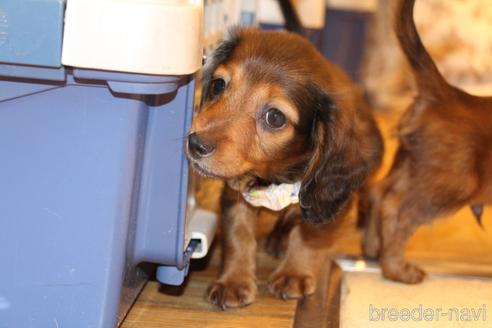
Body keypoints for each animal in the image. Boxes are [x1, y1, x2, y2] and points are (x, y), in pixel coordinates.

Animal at [186, 26, 382, 308]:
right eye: (218, 84)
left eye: (275, 117)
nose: (195, 144)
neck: (276, 175)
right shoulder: (237, 192)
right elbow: (238, 234)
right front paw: (234, 281)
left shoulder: (324, 198)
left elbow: (308, 236)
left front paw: (294, 273)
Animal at [364, 0, 492, 284]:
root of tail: (446, 94)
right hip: (451, 185)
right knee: (398, 211)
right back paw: (398, 270)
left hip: (409, 166)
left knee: (378, 193)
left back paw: (373, 250)